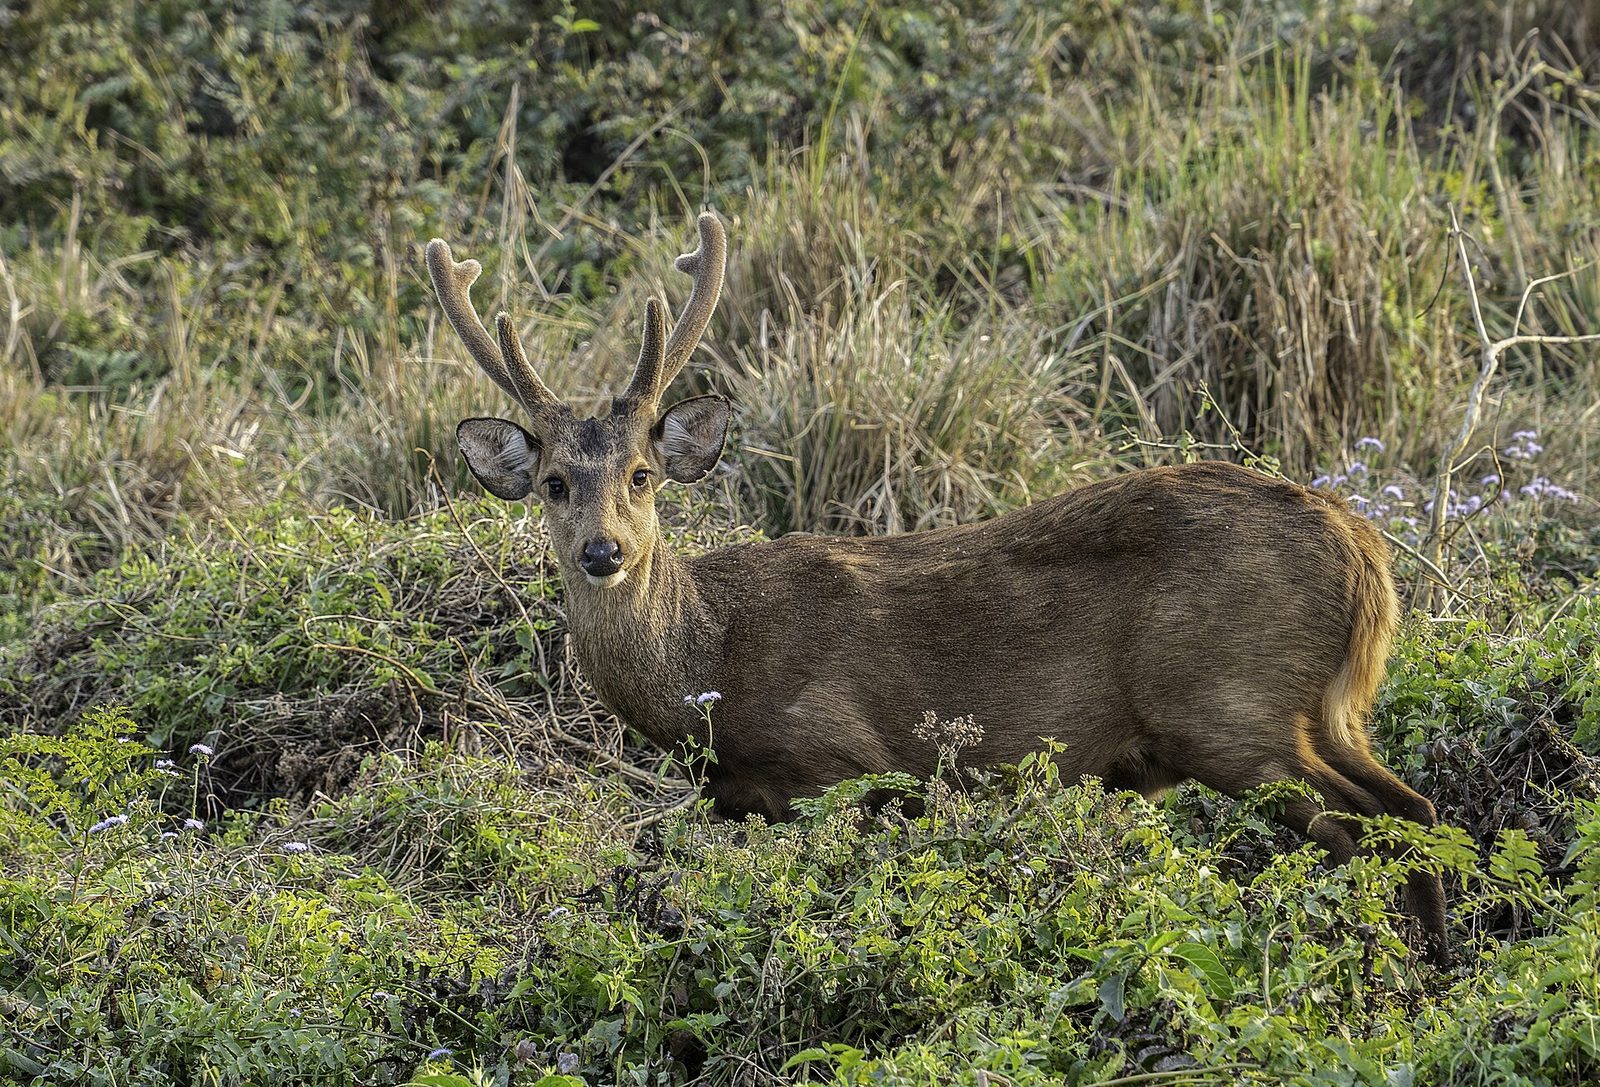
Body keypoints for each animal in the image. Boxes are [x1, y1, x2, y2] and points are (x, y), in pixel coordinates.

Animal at [425, 212, 1449, 962]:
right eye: (554, 481)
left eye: (642, 474)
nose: (603, 552)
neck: (710, 661)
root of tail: (1364, 550)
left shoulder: (846, 761)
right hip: (1317, 706)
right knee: (1414, 808)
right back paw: (1432, 961)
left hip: (1230, 699)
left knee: (1364, 824)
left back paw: (1384, 959)